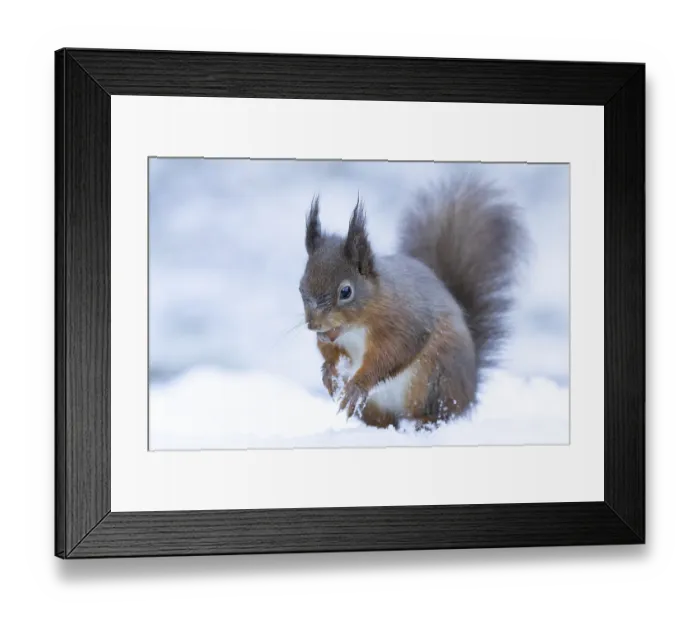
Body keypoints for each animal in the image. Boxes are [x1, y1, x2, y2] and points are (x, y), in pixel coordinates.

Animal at [298, 176, 528, 430]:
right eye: (301, 287)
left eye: (346, 291)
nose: (314, 325)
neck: (356, 328)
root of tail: (471, 391)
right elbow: (330, 352)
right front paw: (329, 372)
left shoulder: (403, 322)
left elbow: (392, 354)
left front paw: (358, 385)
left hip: (435, 379)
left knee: (443, 414)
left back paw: (423, 421)